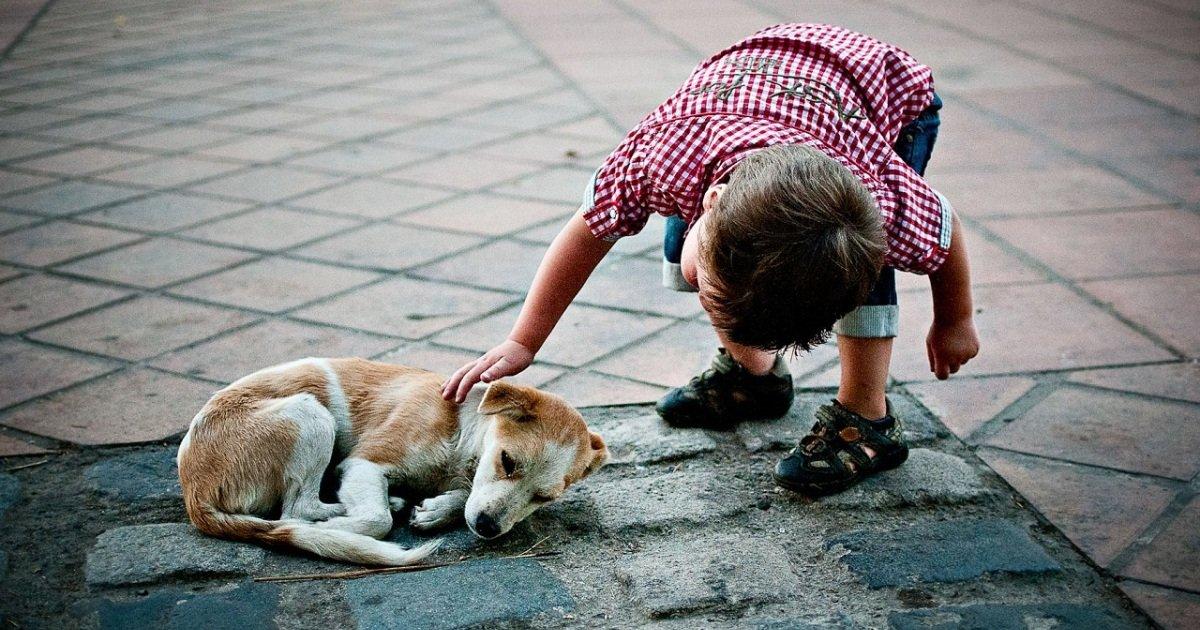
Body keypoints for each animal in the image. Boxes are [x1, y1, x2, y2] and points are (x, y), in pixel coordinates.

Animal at [175, 355, 609, 566]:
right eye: (507, 461)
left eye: (543, 498)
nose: (488, 528)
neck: (462, 429)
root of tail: (194, 492)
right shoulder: (364, 462)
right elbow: (377, 520)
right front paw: (346, 528)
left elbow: (463, 497)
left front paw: (436, 510)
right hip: (310, 415)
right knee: (295, 512)